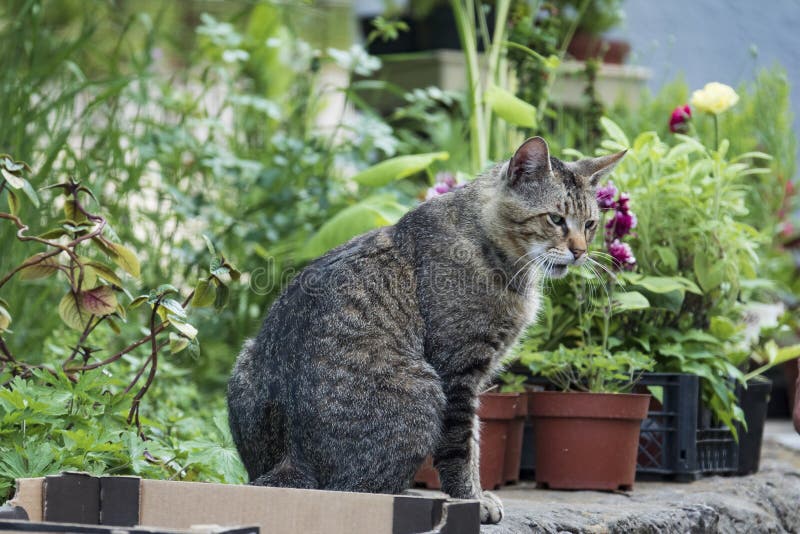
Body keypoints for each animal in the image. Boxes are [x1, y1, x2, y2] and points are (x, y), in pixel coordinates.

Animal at [225, 136, 624, 524]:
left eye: (590, 224)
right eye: (555, 219)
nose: (580, 252)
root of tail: (292, 459)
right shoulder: (460, 372)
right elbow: (463, 449)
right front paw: (472, 500)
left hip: (245, 358)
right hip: (424, 389)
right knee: (362, 490)